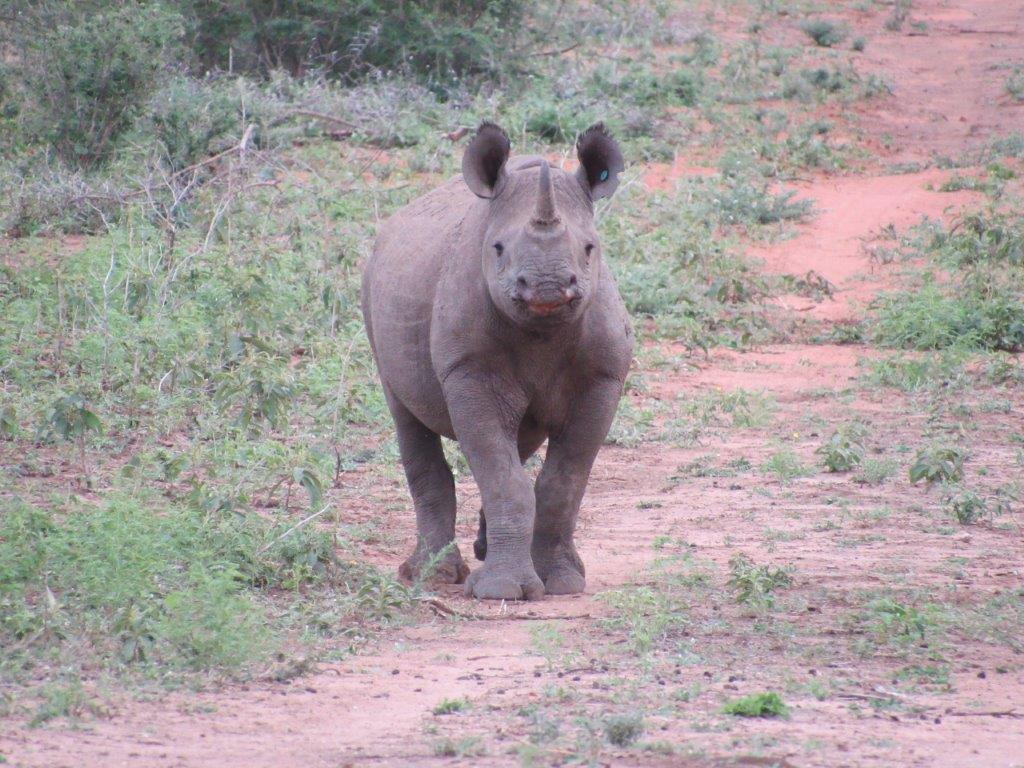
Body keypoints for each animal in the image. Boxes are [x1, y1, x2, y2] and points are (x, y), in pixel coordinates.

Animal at [360, 121, 630, 602]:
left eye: (590, 248)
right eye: (498, 248)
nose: (547, 286)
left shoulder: (603, 377)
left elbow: (562, 481)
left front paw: (562, 583)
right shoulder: (469, 370)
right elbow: (502, 474)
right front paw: (503, 591)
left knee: (520, 443)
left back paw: (484, 552)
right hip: (370, 291)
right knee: (407, 417)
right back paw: (432, 574)